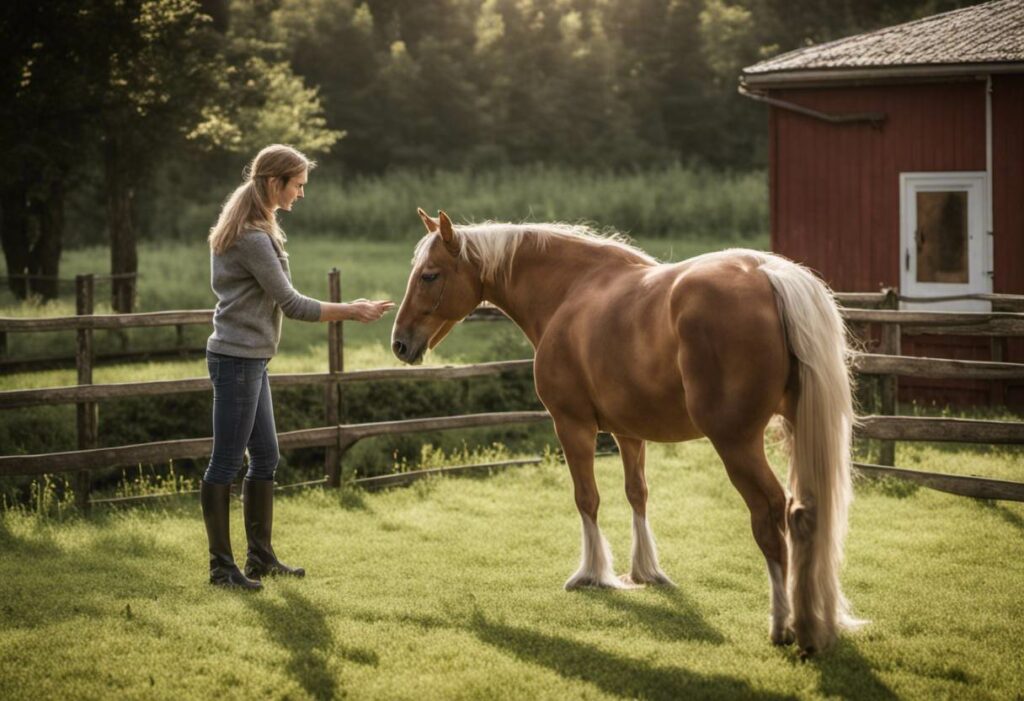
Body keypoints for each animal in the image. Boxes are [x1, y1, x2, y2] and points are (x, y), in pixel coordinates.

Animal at [391, 207, 864, 654]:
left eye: (429, 275)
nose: (399, 343)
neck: (569, 292)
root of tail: (766, 273)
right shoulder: (629, 433)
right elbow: (638, 495)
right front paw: (645, 572)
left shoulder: (572, 425)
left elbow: (587, 498)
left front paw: (592, 574)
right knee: (808, 512)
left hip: (737, 443)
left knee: (771, 513)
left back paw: (784, 624)